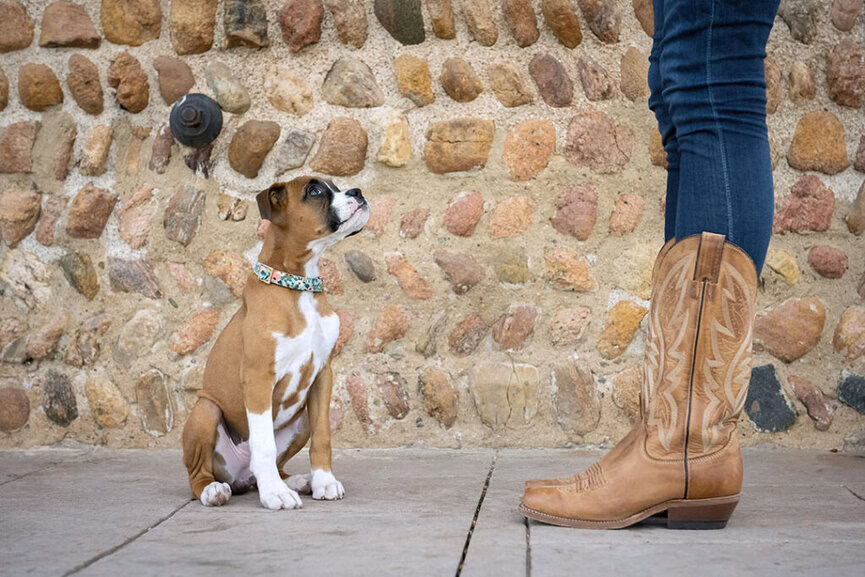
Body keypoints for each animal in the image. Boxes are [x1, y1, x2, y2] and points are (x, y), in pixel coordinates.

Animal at [181, 177, 370, 508]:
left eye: (335, 185)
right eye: (315, 191)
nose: (357, 192)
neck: (298, 286)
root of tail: (239, 477)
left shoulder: (322, 376)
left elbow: (323, 436)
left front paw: (324, 481)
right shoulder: (259, 378)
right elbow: (264, 444)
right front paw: (274, 494)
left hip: (301, 418)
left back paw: (297, 480)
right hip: (206, 408)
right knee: (198, 474)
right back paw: (215, 490)